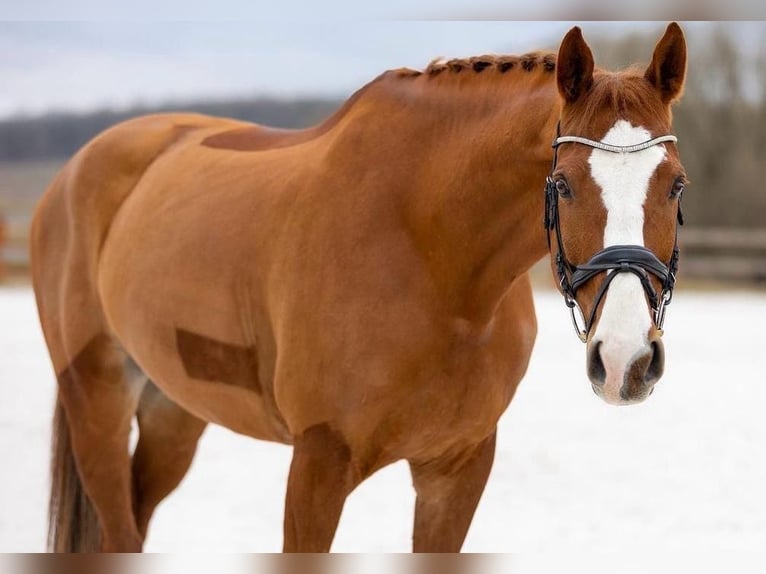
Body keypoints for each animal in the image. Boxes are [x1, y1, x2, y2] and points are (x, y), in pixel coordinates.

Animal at [31, 23, 688, 552]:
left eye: (676, 184)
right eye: (565, 184)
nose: (625, 359)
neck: (433, 260)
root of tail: (72, 173)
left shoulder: (458, 469)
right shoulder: (318, 464)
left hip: (173, 412)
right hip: (97, 400)